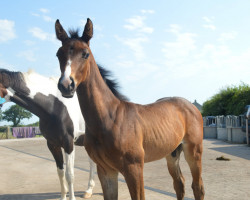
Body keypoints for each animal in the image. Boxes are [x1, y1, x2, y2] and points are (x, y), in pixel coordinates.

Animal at [0, 67, 127, 200]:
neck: (53, 106)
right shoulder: (52, 144)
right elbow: (60, 172)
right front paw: (63, 196)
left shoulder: (68, 144)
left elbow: (69, 174)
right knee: (92, 163)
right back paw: (88, 191)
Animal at [55, 18, 205, 199]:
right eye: (58, 54)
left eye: (85, 54)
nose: (66, 85)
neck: (109, 118)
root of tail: (191, 106)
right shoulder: (105, 170)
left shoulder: (134, 168)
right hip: (172, 153)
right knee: (179, 184)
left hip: (194, 151)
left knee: (197, 187)